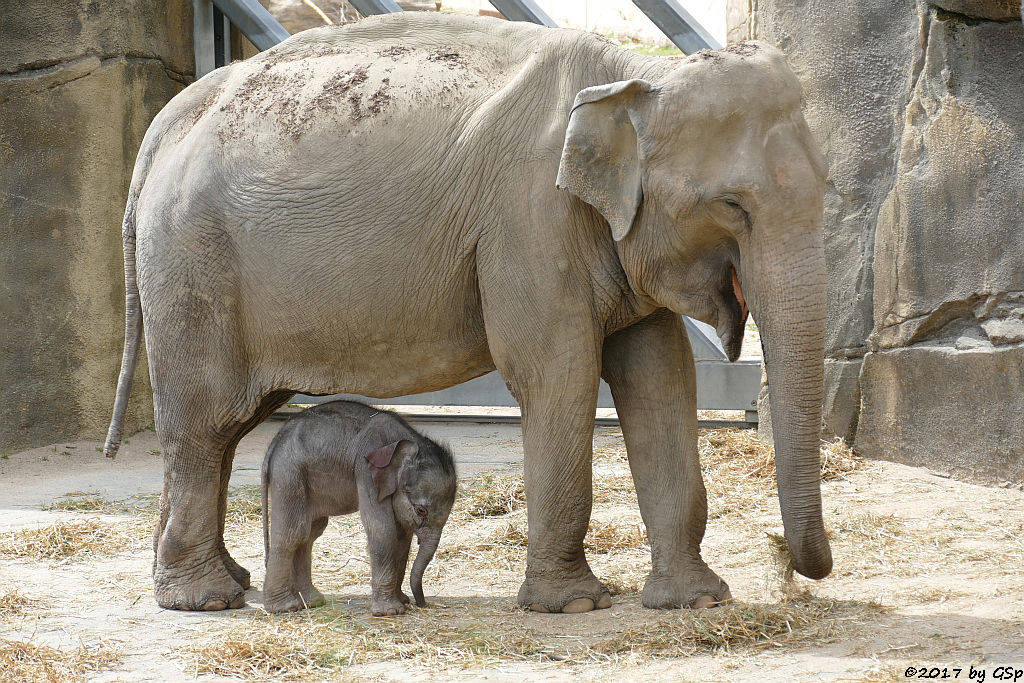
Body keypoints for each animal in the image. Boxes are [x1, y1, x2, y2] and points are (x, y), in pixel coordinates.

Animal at [262, 403, 458, 618]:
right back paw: (285, 607)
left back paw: (312, 602)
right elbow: (383, 529)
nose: (422, 604)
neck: (405, 440)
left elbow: (402, 535)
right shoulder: (366, 471)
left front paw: (402, 602)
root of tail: (275, 441)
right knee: (294, 533)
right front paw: (391, 612)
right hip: (289, 475)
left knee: (309, 533)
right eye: (421, 510)